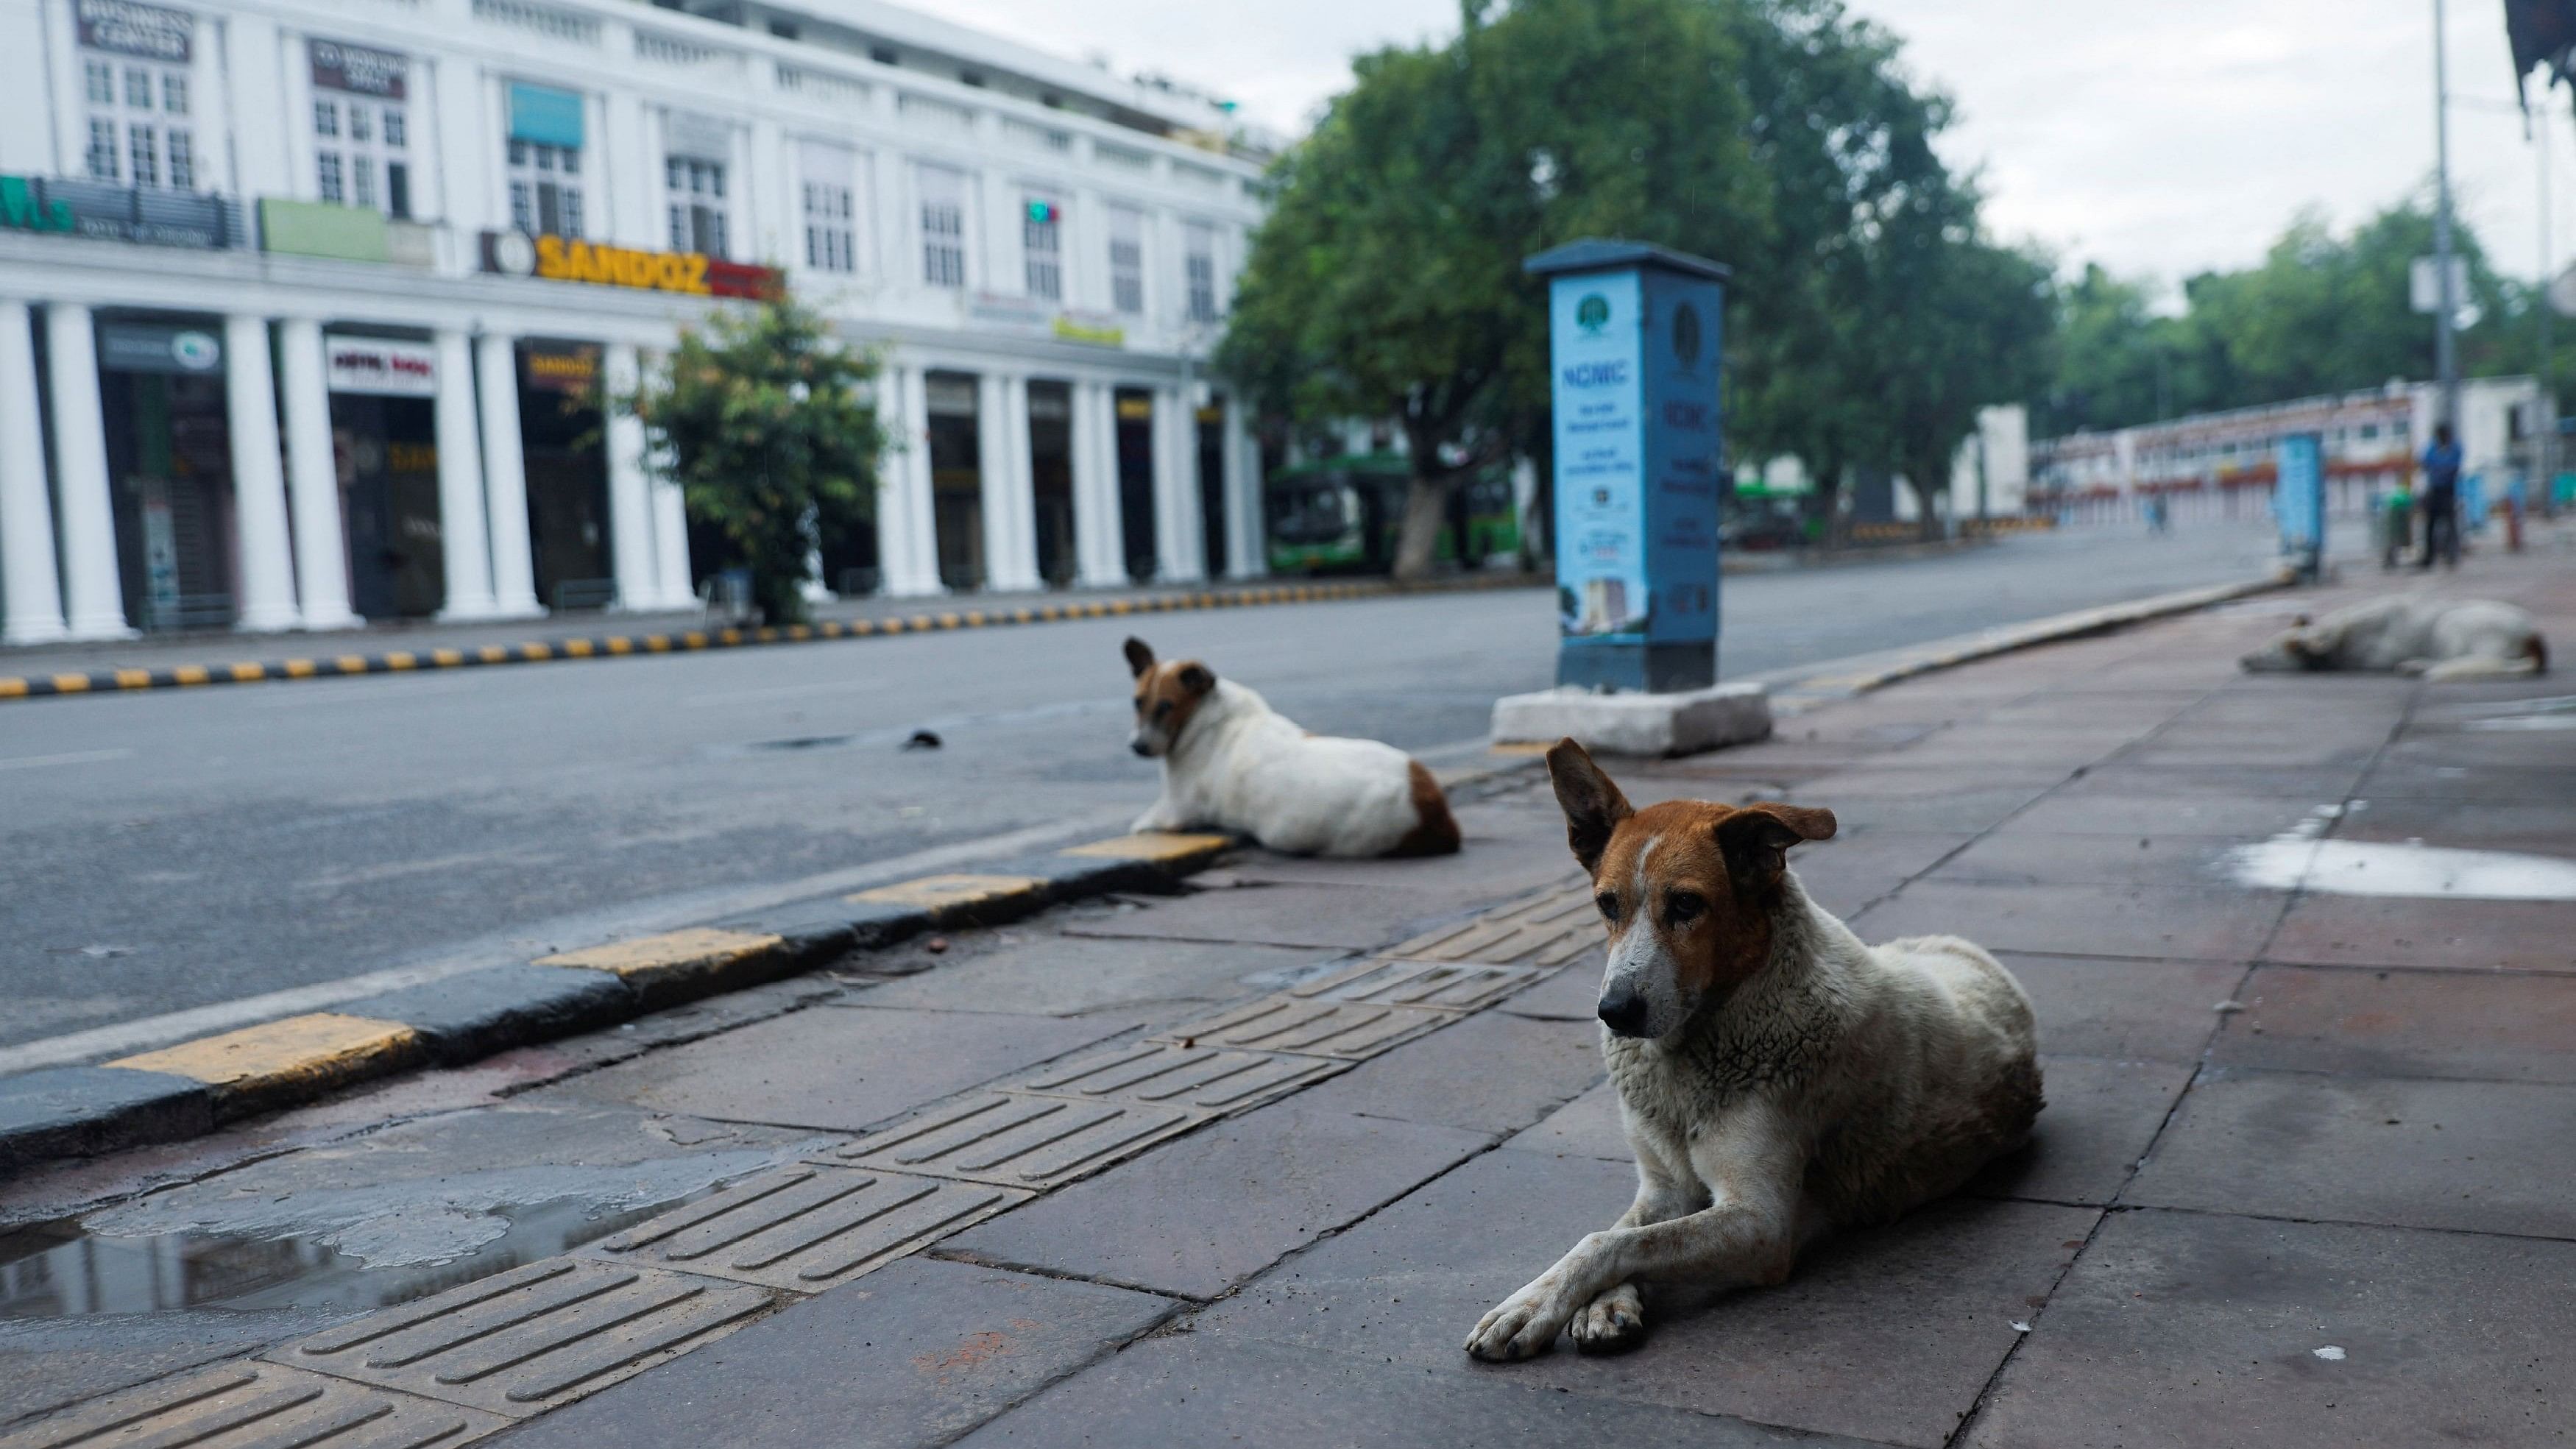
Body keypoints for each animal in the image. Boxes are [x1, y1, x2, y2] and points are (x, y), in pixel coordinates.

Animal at [1118, 638, 1463, 860]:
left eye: (1166, 706)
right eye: (1137, 702)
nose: (1137, 746)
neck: (1204, 717)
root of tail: (1433, 807)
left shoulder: (1173, 812)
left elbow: (1140, 824)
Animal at [1473, 741, 2030, 1369]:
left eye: (1687, 904)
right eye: (1607, 904)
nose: (1614, 1010)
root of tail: (1962, 945)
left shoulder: (1761, 1222)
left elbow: (1611, 1241)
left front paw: (1538, 1305)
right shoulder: (1663, 1185)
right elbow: (1621, 1230)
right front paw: (1596, 1301)